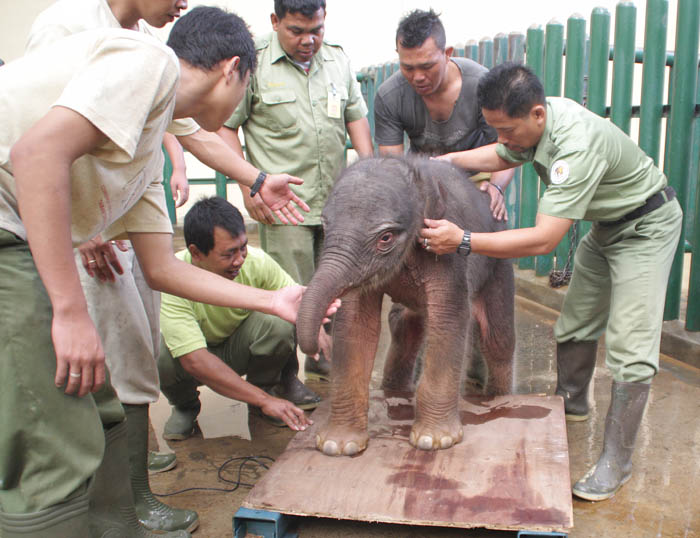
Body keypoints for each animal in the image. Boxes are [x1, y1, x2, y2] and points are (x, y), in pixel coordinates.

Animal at [296, 155, 516, 456]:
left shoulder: (448, 252)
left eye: (385, 238)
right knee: (404, 328)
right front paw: (338, 445)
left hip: (499, 265)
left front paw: (435, 441)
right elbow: (355, 323)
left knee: (497, 339)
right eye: (325, 226)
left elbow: (449, 318)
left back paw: (498, 399)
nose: (316, 345)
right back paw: (395, 390)